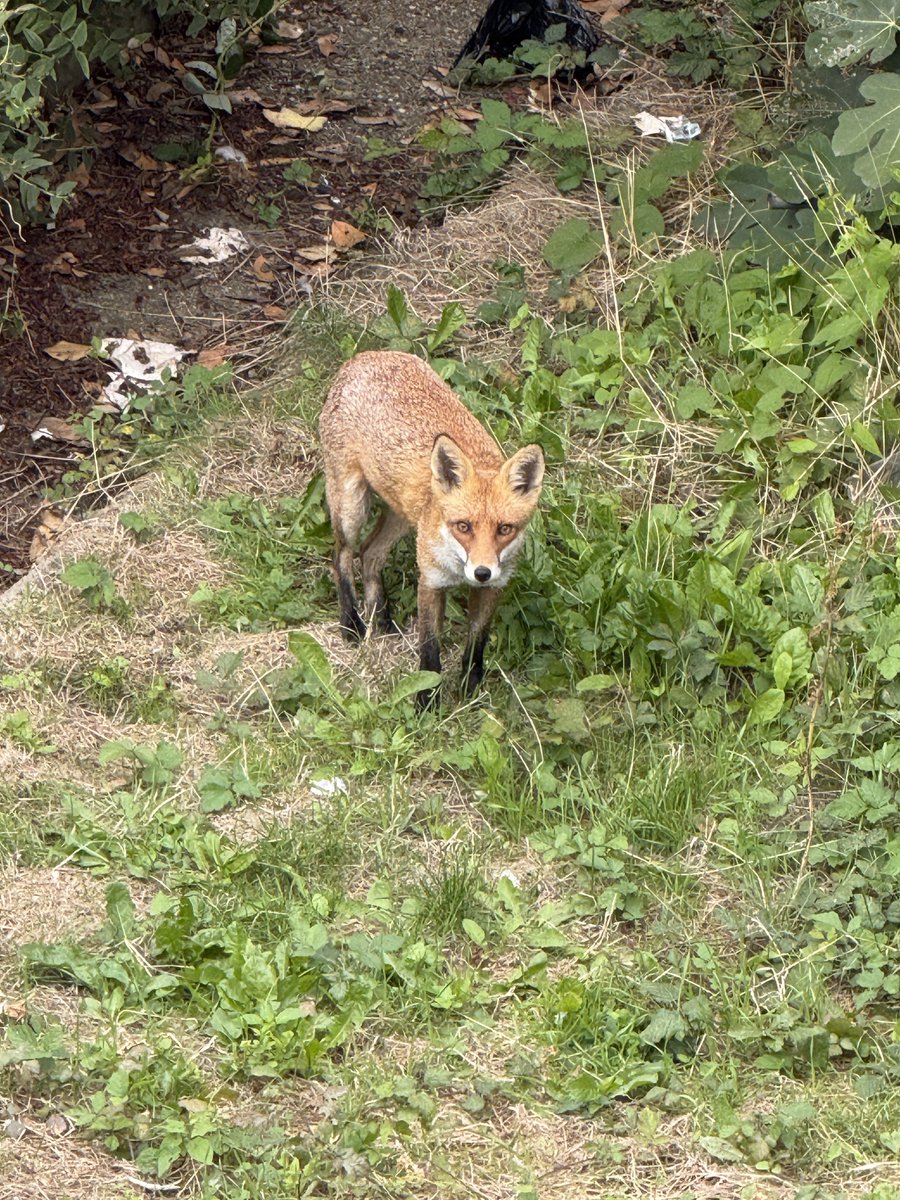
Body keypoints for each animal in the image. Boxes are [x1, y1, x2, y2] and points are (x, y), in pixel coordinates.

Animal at [319, 350, 545, 707]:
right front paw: (426, 702)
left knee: (369, 553)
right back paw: (351, 622)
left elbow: (476, 644)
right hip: (351, 506)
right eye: (463, 526)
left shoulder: (494, 588)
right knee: (341, 555)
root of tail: (366, 355)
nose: (481, 572)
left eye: (504, 529)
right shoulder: (431, 582)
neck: (456, 565)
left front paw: (469, 689)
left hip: (401, 515)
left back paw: (381, 618)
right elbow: (429, 651)